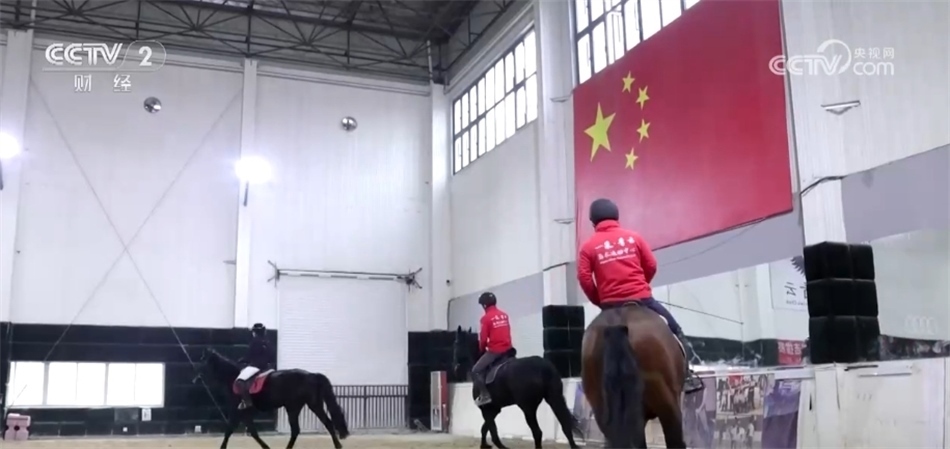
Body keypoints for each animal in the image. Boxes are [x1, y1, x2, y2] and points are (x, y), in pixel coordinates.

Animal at [193, 348, 350, 449]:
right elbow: (252, 432)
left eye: (202, 361)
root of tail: (312, 375)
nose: (194, 379)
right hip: (306, 405)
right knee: (319, 425)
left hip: (299, 406)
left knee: (304, 428)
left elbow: (229, 430)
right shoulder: (245, 413)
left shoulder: (237, 411)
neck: (232, 377)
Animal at [452, 326, 582, 449]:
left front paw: (497, 446)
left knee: (537, 432)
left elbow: (491, 430)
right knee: (565, 424)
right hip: (554, 399)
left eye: (456, 342)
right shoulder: (494, 409)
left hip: (528, 408)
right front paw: (485, 445)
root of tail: (543, 367)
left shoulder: (486, 409)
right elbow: (485, 428)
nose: (455, 367)